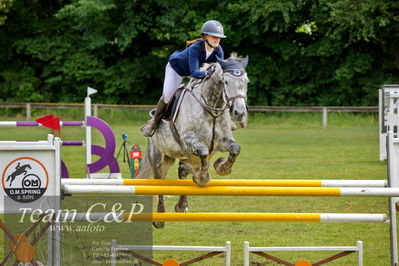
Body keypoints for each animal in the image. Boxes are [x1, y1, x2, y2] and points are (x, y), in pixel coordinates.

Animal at [139, 53, 248, 228]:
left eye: (246, 81)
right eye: (226, 81)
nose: (239, 113)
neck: (211, 108)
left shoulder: (224, 141)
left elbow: (235, 149)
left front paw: (222, 167)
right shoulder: (188, 139)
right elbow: (203, 150)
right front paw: (203, 177)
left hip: (185, 156)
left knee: (183, 170)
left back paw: (182, 205)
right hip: (158, 156)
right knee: (159, 180)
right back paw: (160, 218)